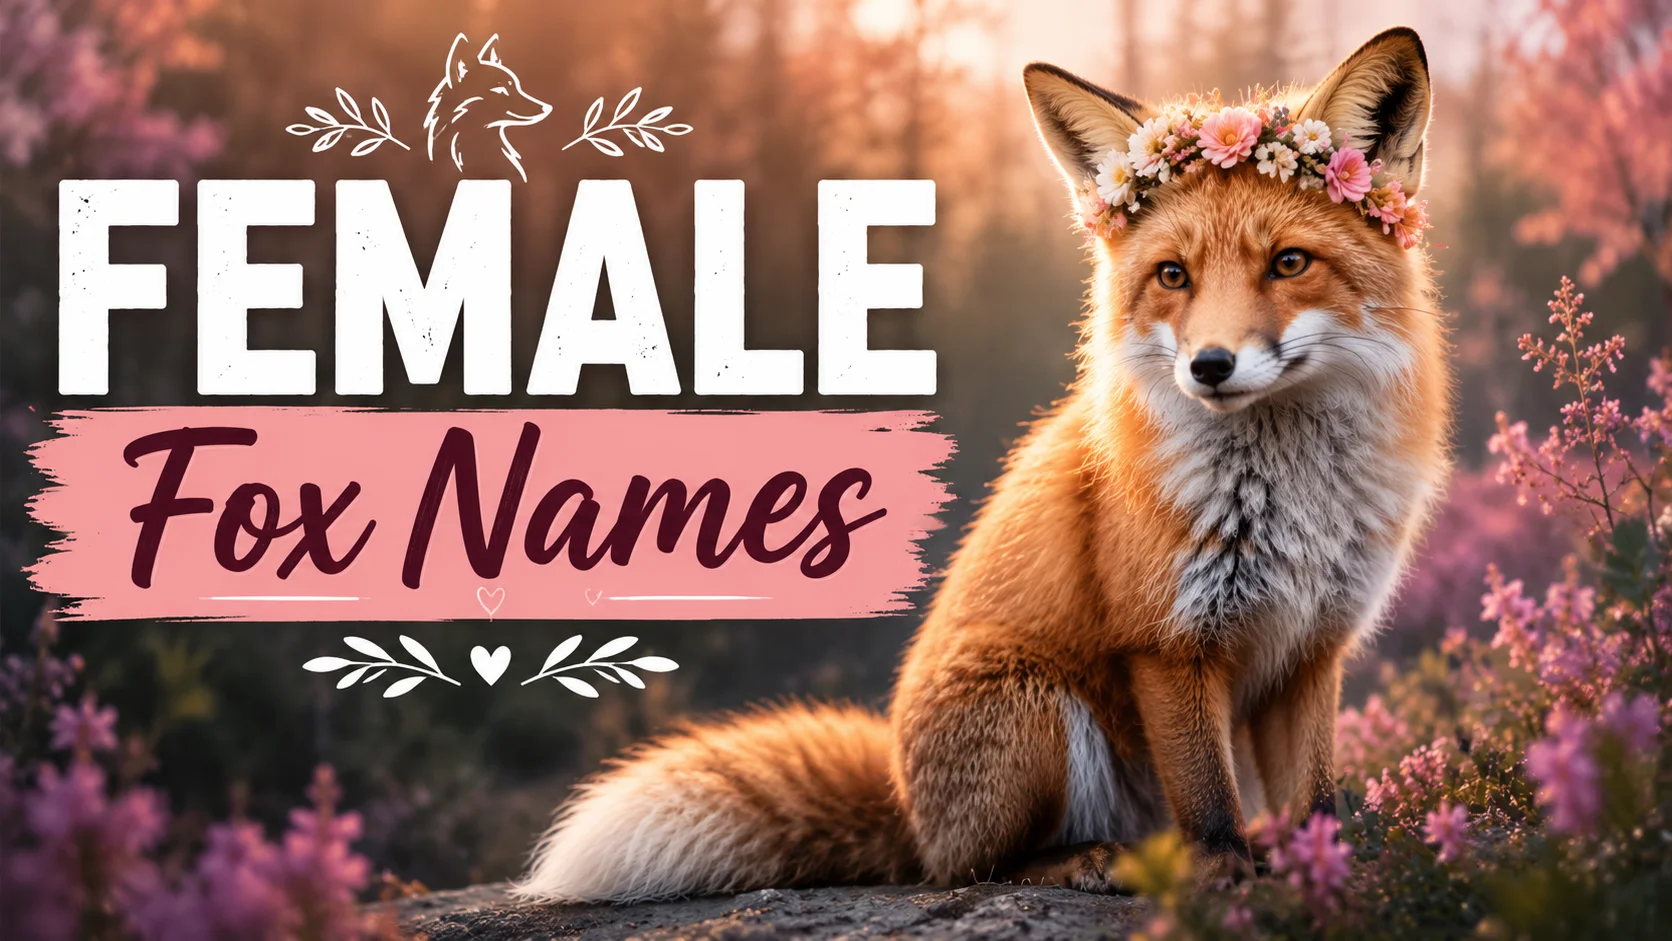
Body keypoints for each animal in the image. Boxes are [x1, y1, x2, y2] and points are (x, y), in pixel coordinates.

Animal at [517, 26, 1450, 902]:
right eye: (1172, 275)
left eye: (1289, 262)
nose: (1210, 366)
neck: (1292, 499)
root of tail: (905, 804)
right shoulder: (1168, 645)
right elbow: (1209, 802)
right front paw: (1222, 880)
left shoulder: (1311, 650)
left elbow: (1315, 803)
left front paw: (1327, 879)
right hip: (1039, 712)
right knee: (975, 870)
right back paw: (1094, 861)